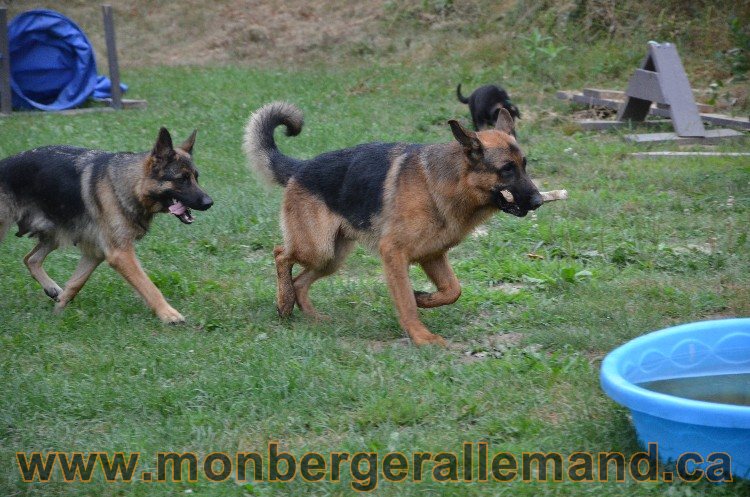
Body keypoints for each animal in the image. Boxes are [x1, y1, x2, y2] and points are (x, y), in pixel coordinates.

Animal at [0, 129, 213, 322]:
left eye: (196, 177)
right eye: (181, 179)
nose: (209, 202)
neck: (130, 184)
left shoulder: (95, 253)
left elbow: (76, 283)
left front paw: (58, 311)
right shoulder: (121, 254)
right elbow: (148, 286)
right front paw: (168, 314)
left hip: (55, 234)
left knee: (31, 259)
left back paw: (51, 288)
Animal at [247, 101, 548, 344]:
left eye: (524, 165)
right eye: (507, 169)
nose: (538, 201)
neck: (445, 183)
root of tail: (300, 167)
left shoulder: (433, 255)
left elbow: (453, 290)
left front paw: (423, 297)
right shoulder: (394, 253)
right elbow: (406, 303)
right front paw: (422, 337)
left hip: (332, 257)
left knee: (299, 281)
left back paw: (312, 317)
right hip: (317, 248)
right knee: (280, 254)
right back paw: (284, 303)